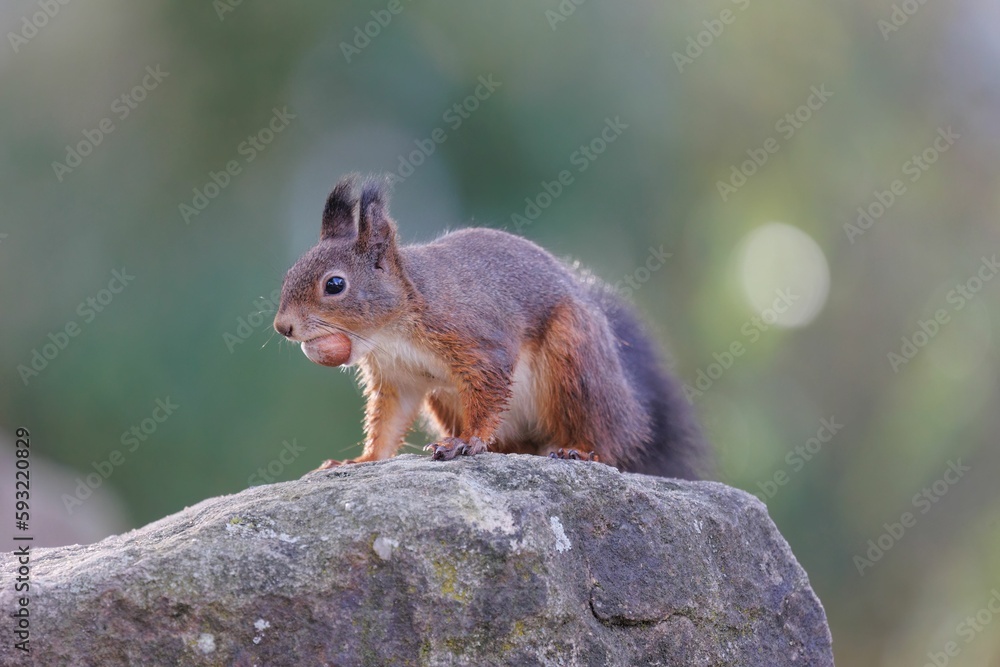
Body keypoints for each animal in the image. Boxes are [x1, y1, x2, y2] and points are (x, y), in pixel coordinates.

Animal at [273, 174, 707, 479]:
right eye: (290, 273)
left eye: (334, 285)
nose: (283, 327)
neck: (391, 332)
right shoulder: (399, 377)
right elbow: (389, 421)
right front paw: (362, 459)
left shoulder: (474, 339)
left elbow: (489, 388)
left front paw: (469, 441)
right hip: (444, 399)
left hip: (576, 358)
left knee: (604, 436)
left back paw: (580, 450)